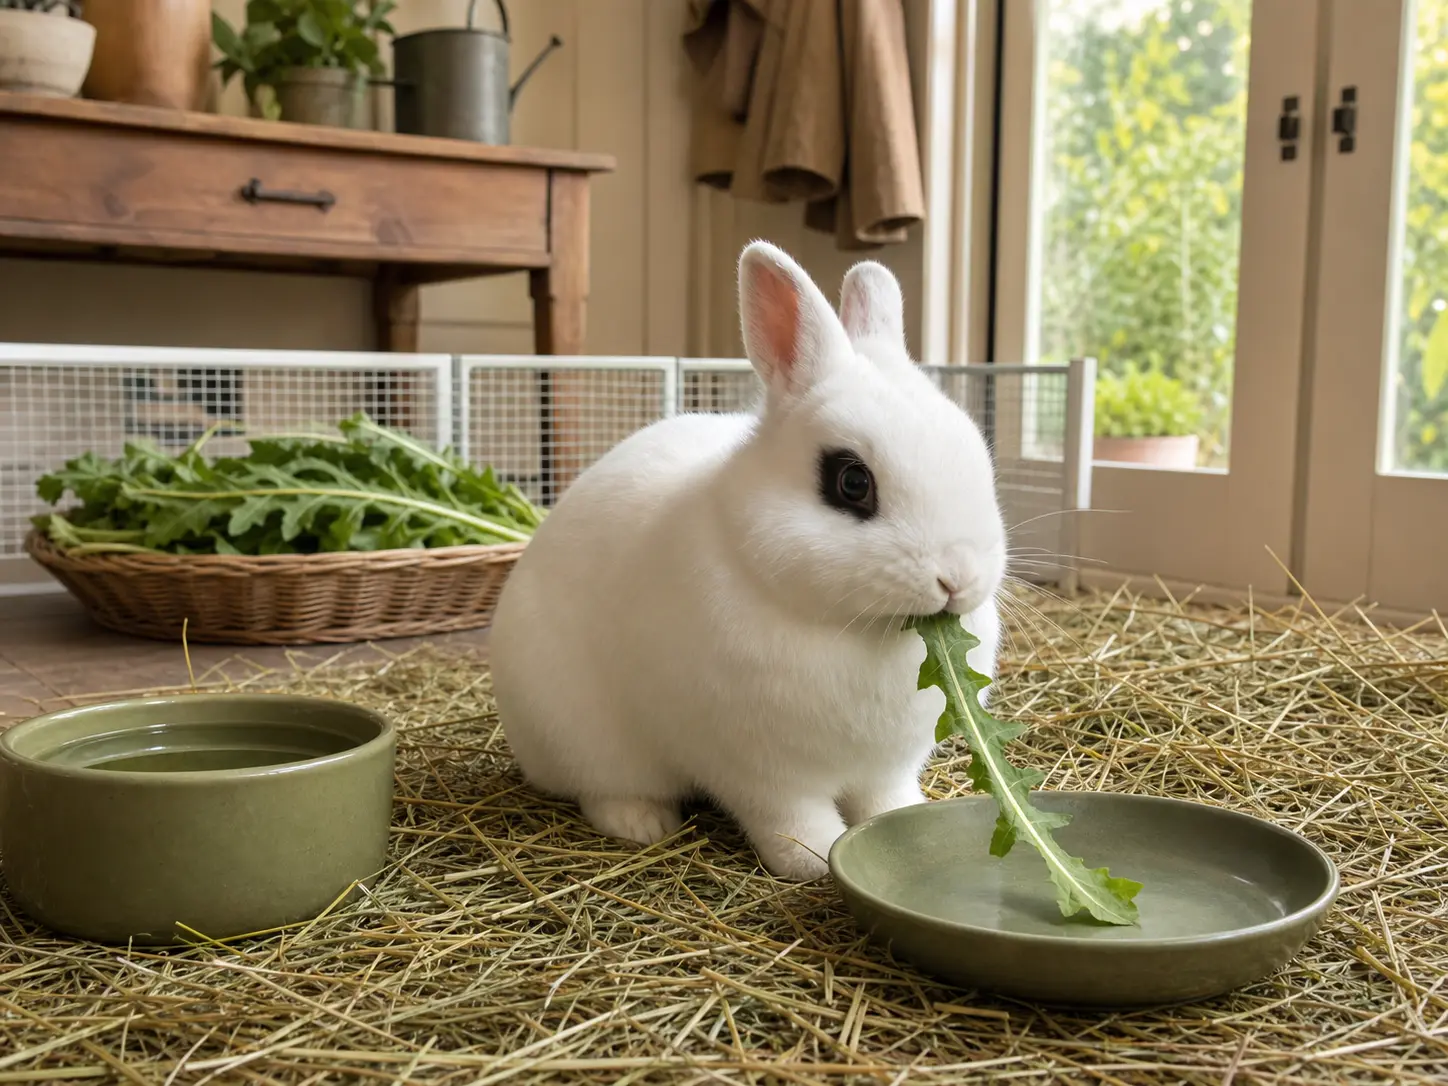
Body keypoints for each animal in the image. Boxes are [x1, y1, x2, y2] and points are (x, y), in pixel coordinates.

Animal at [488, 240, 1006, 881]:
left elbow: (885, 799)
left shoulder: (886, 766)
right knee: (603, 789)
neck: (859, 630)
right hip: (583, 740)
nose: (959, 578)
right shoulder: (762, 772)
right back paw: (643, 824)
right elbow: (791, 820)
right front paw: (814, 860)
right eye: (852, 482)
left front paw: (903, 819)